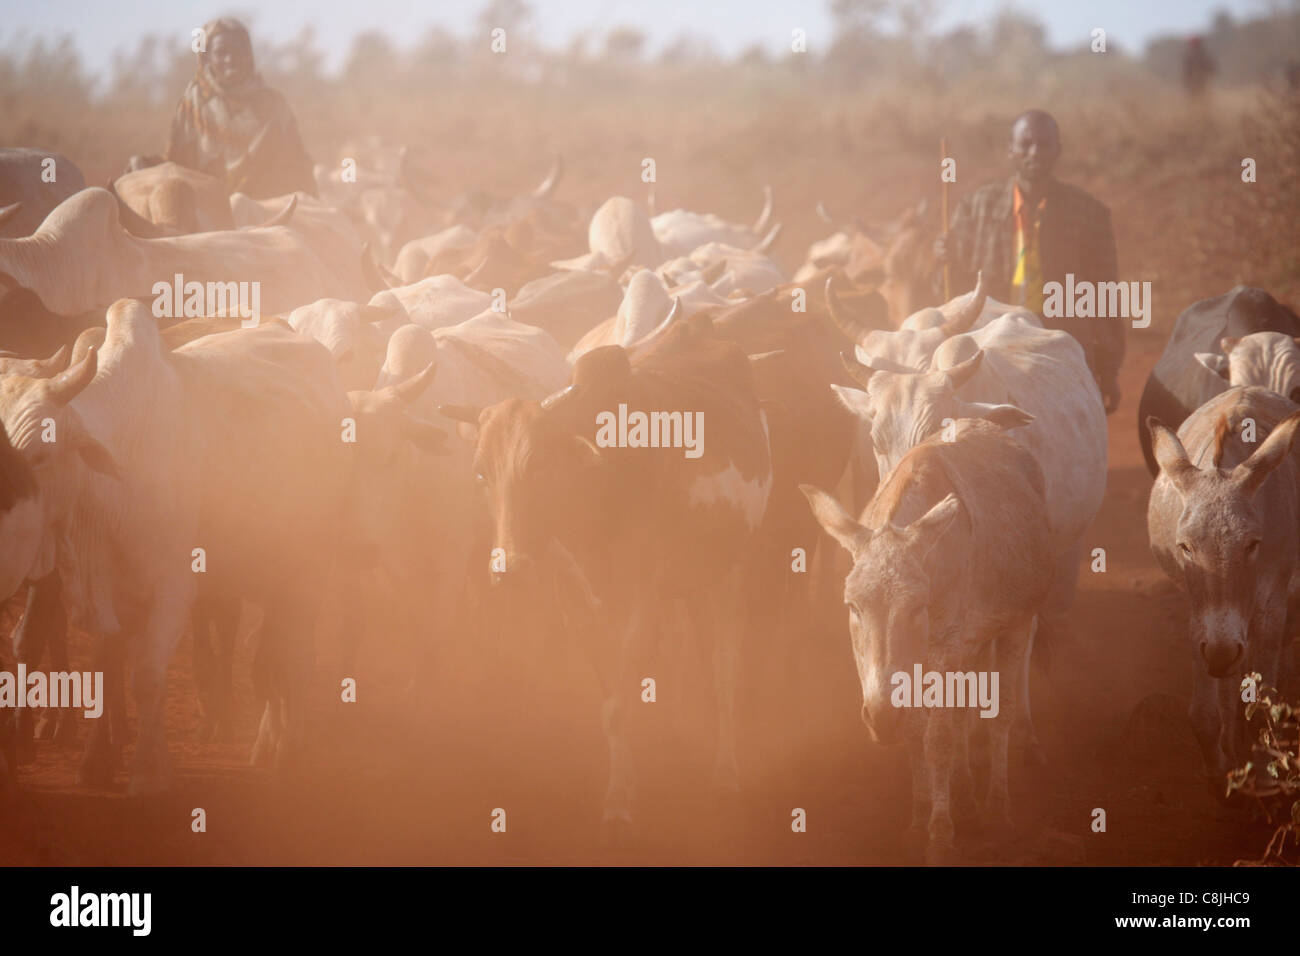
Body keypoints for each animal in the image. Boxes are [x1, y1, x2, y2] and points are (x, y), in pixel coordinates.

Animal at [800, 416, 1055, 863]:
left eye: (916, 607)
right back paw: (967, 797)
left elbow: (938, 738)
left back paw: (997, 809)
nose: (880, 720)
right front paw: (920, 822)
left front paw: (940, 837)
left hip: (1017, 624)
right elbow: (920, 732)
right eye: (853, 607)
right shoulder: (925, 664)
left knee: (1001, 714)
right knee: (962, 715)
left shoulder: (946, 647)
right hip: (971, 646)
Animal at [1149, 385, 1300, 796]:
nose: (1220, 654)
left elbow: (1264, 707)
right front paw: (1221, 776)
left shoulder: (1271, 603)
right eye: (1185, 547)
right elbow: (1202, 714)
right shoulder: (1199, 613)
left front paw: (1264, 777)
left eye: (1252, 544)